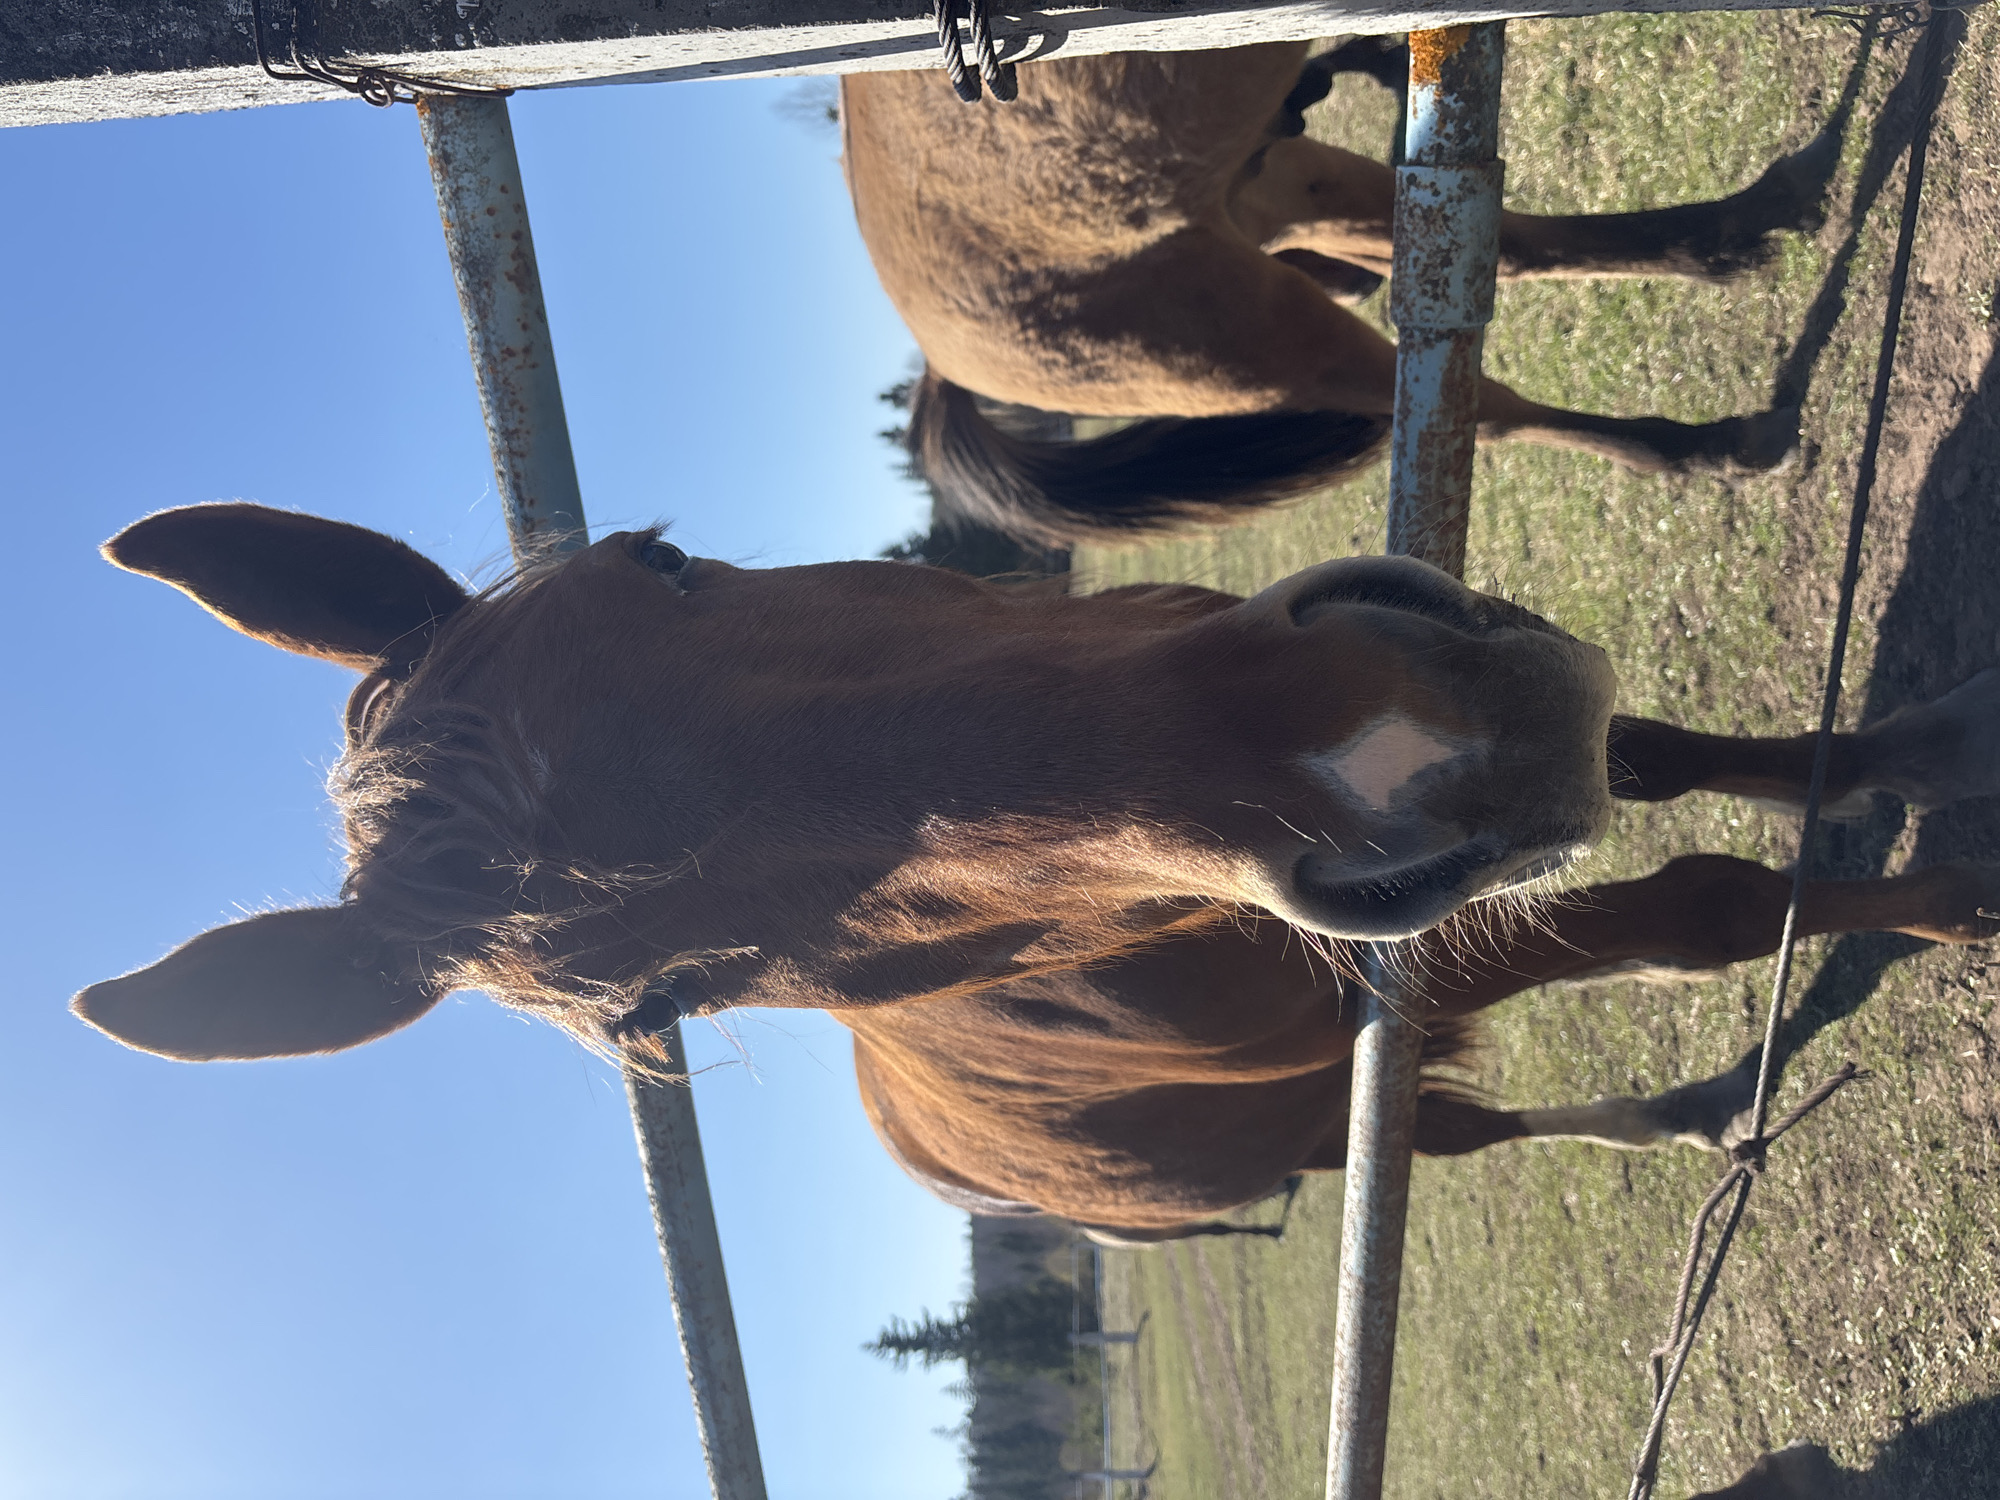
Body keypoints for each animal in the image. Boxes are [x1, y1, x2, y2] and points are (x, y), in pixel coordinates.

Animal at [74, 505, 2000, 1245]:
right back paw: (1696, 1113)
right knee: (1460, 1129)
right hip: (1316, 1120)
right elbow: (1705, 906)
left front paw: (1908, 752)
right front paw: (1957, 899)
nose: (1362, 734)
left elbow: (1663, 763)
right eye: (671, 1001)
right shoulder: (1431, 946)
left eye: (662, 559)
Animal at [840, 41, 1836, 546]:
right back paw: (1717, 446)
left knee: (1514, 252)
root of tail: (938, 355)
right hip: (1274, 342)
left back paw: (1740, 230)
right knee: (1492, 409)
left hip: (1295, 193)